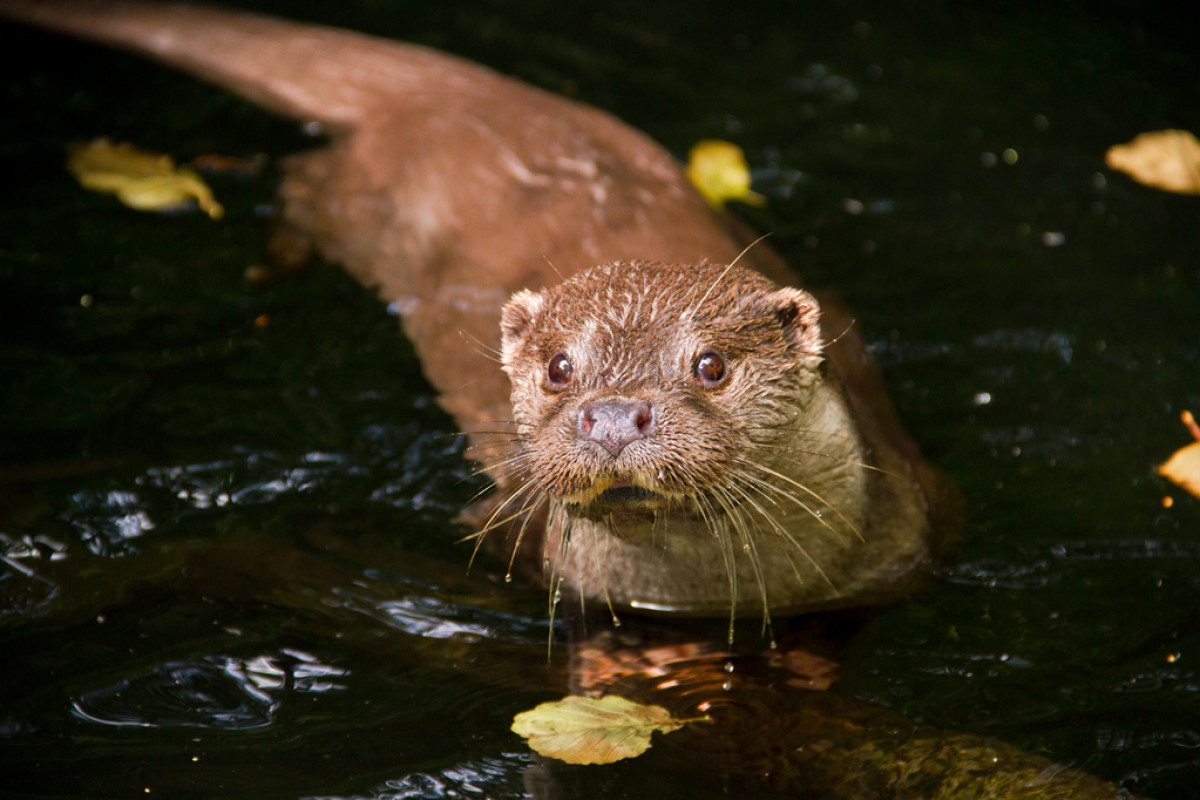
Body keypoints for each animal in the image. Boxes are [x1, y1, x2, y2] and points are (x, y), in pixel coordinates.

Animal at [2, 1, 955, 618]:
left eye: (711, 365)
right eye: (560, 367)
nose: (613, 416)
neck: (701, 600)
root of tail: (442, 95)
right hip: (346, 192)